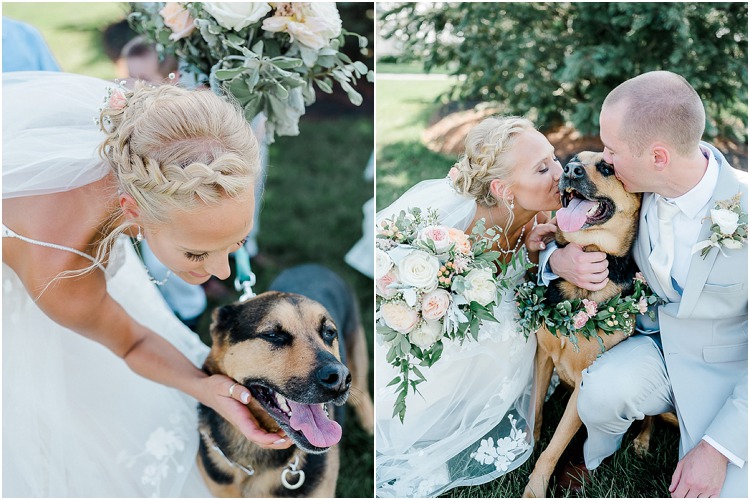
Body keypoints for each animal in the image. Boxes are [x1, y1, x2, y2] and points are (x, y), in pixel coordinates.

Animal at [524, 152, 648, 496]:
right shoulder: (543, 356)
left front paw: (534, 488)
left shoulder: (583, 384)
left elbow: (555, 447)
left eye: (607, 168)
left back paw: (643, 442)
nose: (569, 170)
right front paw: (526, 448)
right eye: (571, 160)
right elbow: (536, 412)